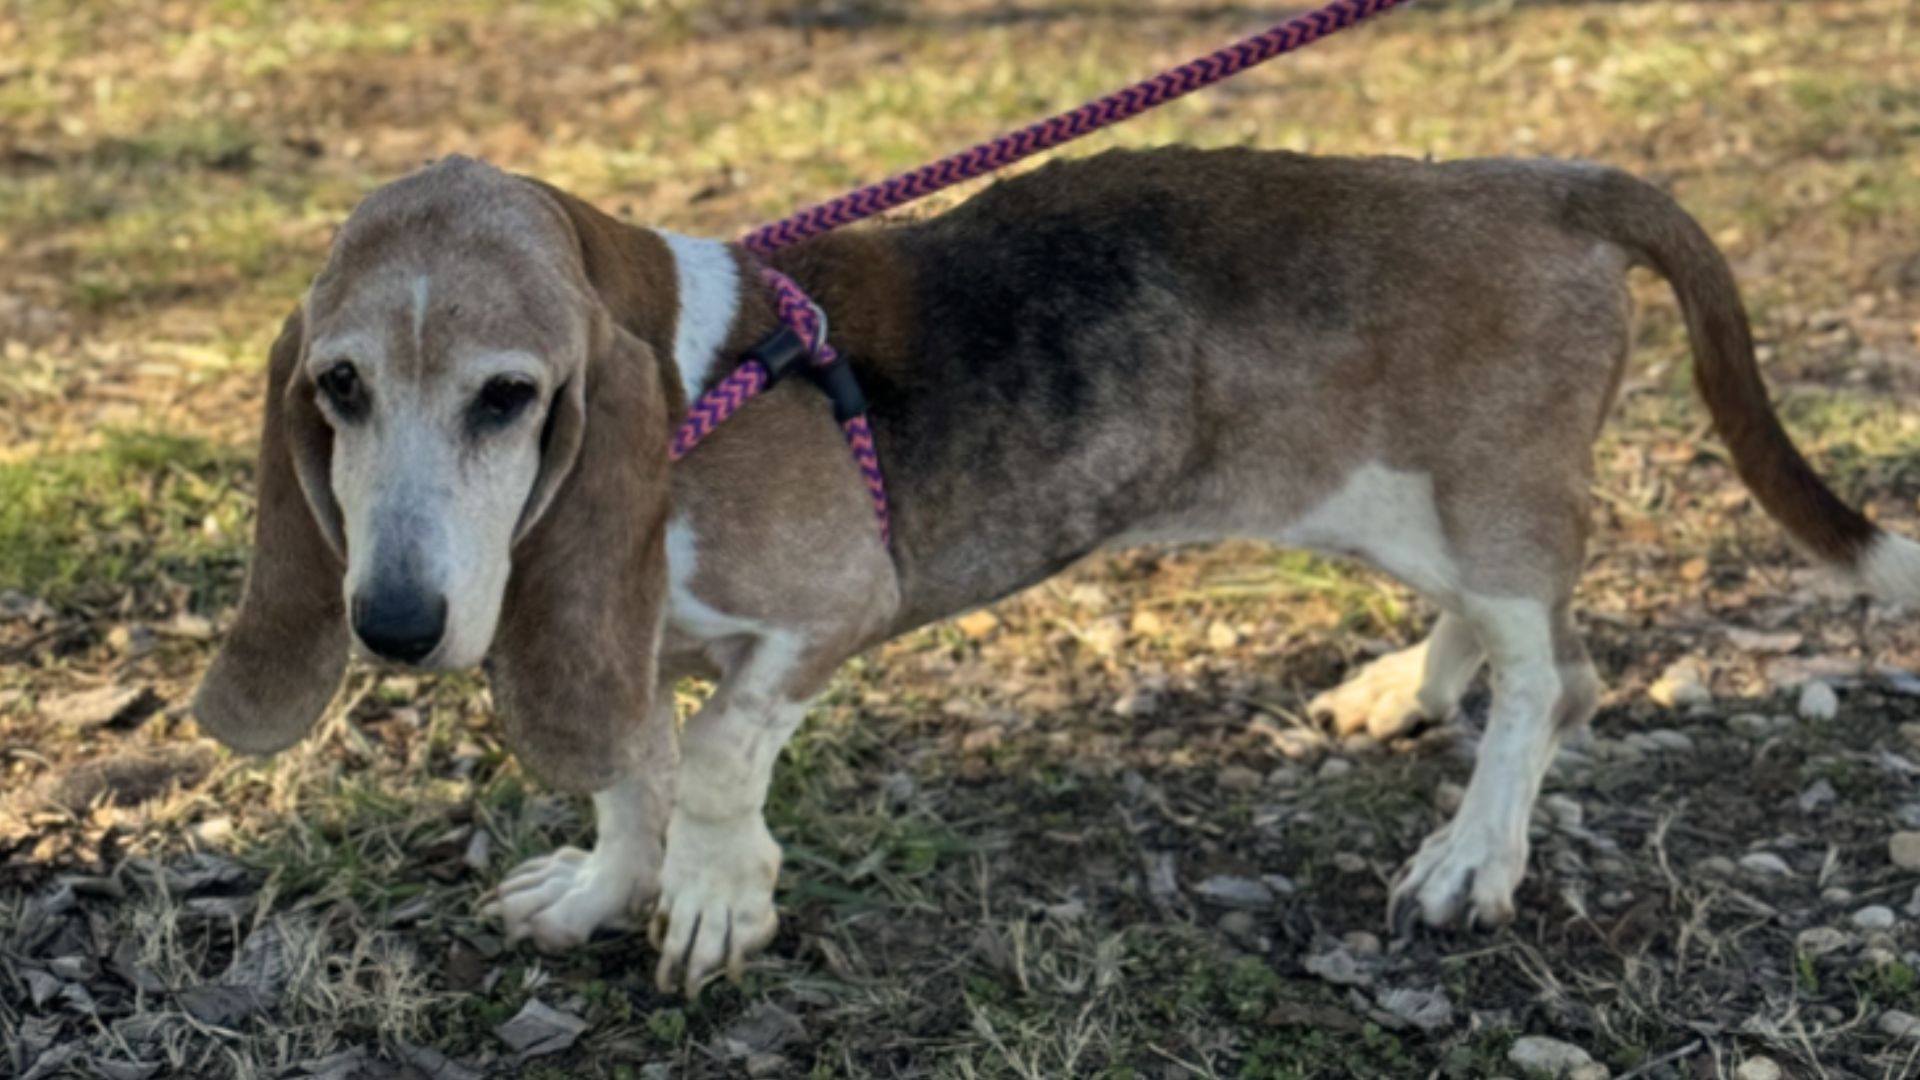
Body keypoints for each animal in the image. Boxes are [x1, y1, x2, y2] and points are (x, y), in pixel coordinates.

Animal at [187, 147, 1912, 991]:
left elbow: (721, 760)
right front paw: (612, 887)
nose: (393, 627)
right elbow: (631, 769)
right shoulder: (616, 642)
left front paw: (714, 902)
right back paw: (1400, 692)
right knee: (1483, 630)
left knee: (1559, 671)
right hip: (1391, 505)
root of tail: (1546, 182)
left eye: (509, 397)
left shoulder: (832, 614)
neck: (696, 389)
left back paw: (1472, 857)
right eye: (337, 388)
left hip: (1484, 500)